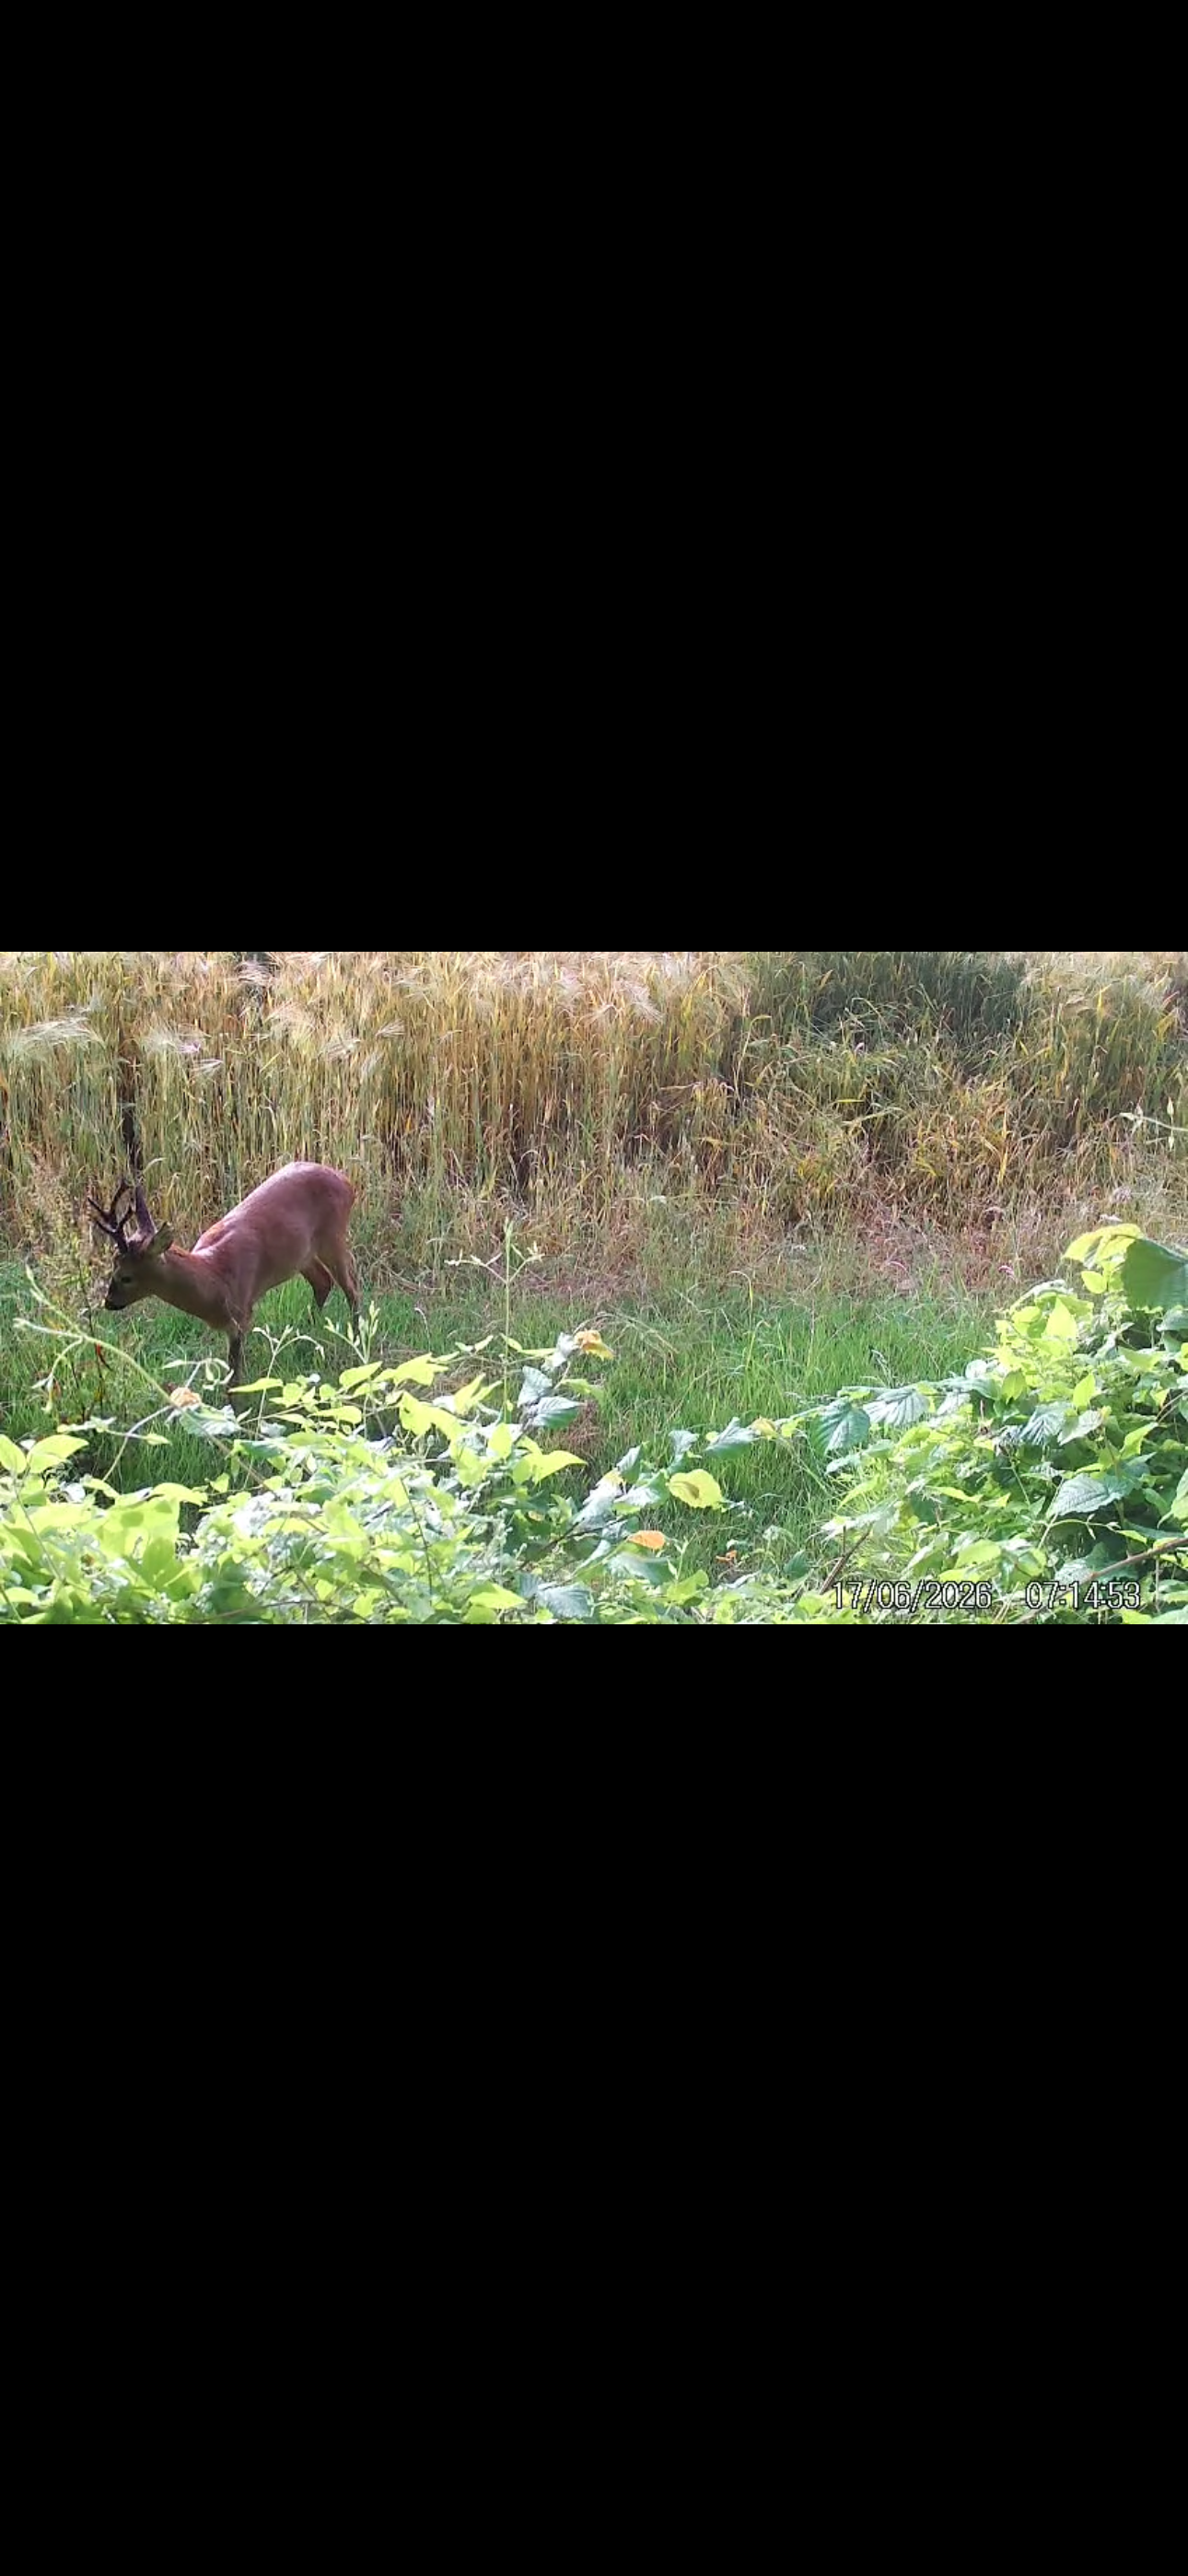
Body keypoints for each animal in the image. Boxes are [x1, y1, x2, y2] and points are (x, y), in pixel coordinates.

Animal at [89, 1164, 360, 1386]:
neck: (213, 1277)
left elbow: (234, 1379)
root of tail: (347, 1182)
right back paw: (301, 1336)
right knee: (323, 1282)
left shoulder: (241, 1314)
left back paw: (355, 1342)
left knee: (352, 1288)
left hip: (333, 1235)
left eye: (126, 1276)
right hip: (302, 1255)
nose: (108, 1302)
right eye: (113, 1267)